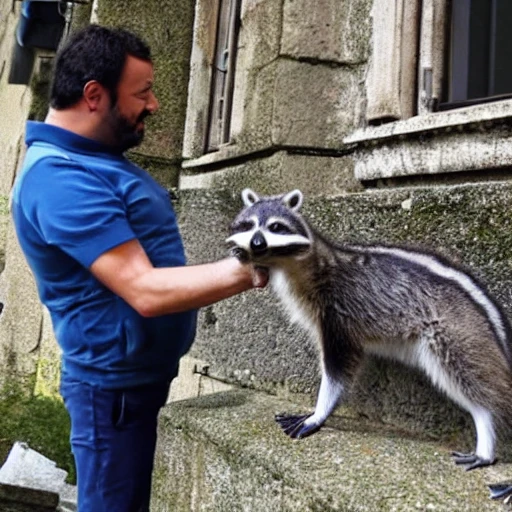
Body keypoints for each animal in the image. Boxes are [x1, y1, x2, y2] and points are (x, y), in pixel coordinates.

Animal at [226, 189, 512, 472]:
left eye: (276, 226)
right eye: (248, 225)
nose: (256, 244)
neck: (296, 265)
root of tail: (492, 319)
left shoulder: (338, 312)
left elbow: (338, 370)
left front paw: (320, 411)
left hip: (454, 333)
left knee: (468, 378)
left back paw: (485, 430)